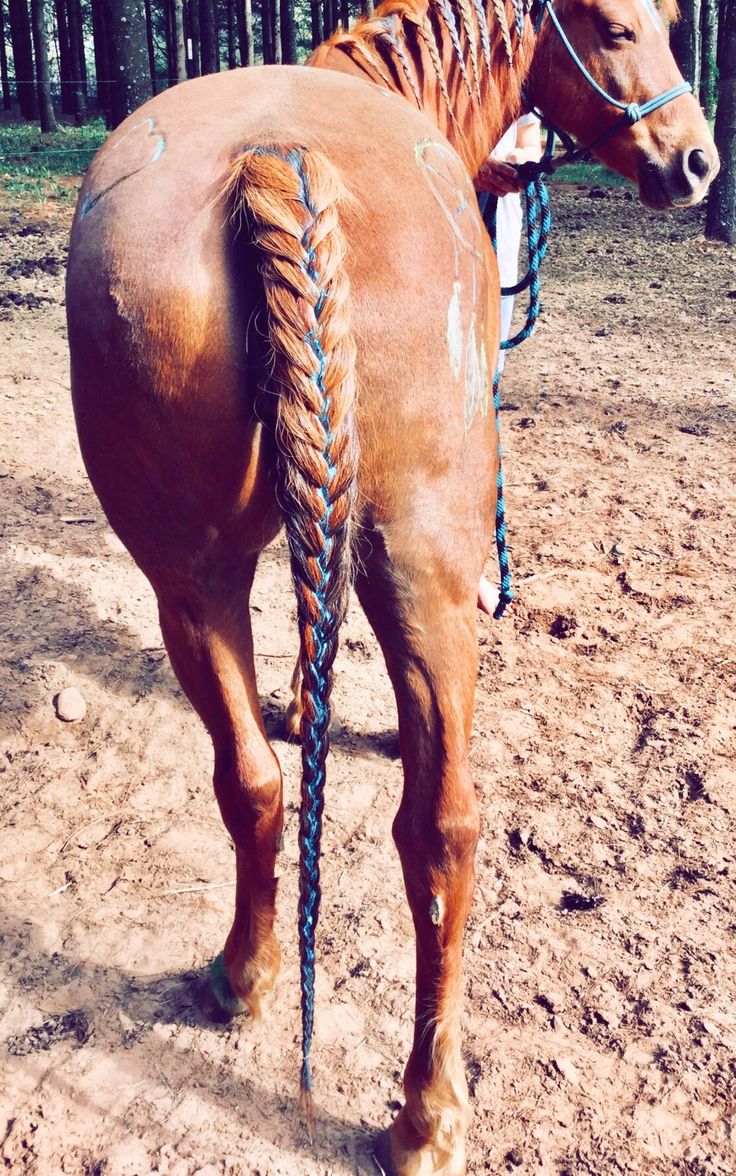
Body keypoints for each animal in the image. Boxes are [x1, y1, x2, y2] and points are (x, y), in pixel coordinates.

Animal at [65, 4, 714, 1171]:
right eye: (621, 27)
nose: (696, 162)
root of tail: (278, 157)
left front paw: (297, 698)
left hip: (187, 579)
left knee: (252, 782)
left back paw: (244, 977)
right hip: (420, 577)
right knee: (443, 828)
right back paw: (429, 1111)